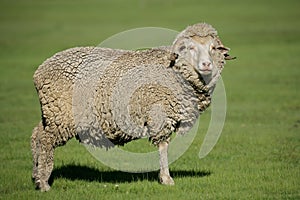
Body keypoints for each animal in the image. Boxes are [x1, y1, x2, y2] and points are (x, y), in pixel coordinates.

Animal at [31, 22, 234, 191]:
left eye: (213, 48)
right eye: (191, 47)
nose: (206, 64)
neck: (176, 71)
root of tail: (40, 70)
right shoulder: (160, 115)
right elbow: (164, 146)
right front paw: (166, 179)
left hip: (51, 113)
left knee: (36, 135)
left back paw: (36, 176)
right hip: (59, 115)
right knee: (46, 141)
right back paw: (44, 183)